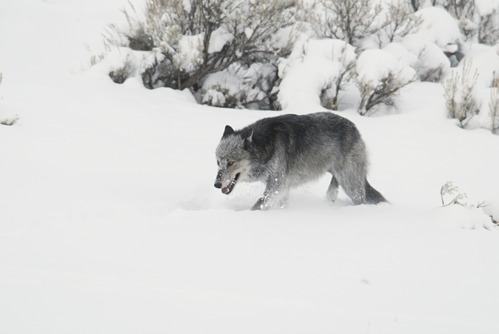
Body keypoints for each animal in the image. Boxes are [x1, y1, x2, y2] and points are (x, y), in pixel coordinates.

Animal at [213, 113, 384, 211]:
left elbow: (257, 206)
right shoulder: (282, 188)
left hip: (350, 184)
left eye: (231, 162)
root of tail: (355, 128)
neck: (265, 146)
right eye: (218, 162)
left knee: (361, 199)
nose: (216, 184)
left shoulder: (277, 185)